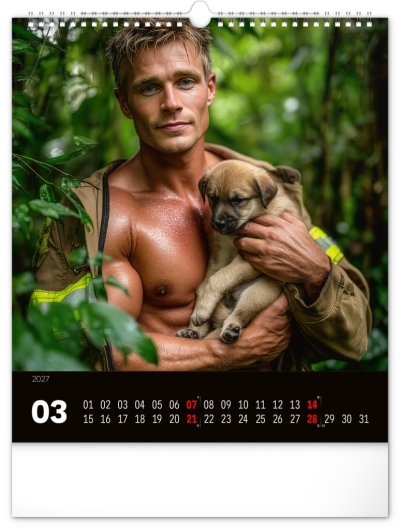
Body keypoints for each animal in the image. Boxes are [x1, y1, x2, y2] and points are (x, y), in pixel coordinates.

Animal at [177, 159, 301, 344]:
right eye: (213, 198)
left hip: (258, 293)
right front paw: (199, 314)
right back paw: (192, 332)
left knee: (240, 314)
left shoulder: (254, 257)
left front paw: (201, 312)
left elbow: (219, 278)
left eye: (238, 200)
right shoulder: (219, 256)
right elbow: (208, 282)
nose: (218, 223)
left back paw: (230, 329)